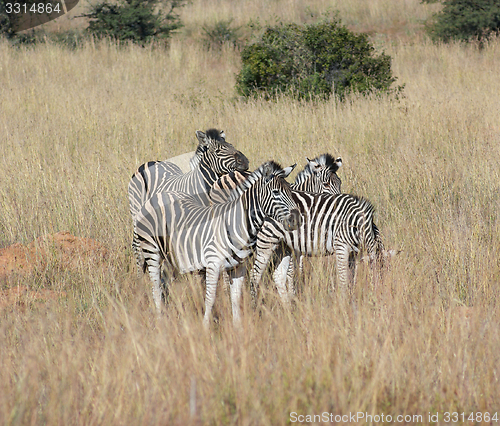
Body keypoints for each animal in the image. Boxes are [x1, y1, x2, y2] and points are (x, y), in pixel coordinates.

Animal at [133, 161, 300, 328]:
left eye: (291, 191)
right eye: (276, 192)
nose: (297, 219)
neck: (237, 223)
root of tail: (157, 196)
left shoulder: (238, 267)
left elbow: (235, 297)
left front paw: (237, 327)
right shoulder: (212, 265)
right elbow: (210, 298)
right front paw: (206, 327)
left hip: (171, 254)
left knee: (164, 282)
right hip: (151, 249)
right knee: (155, 287)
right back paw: (160, 320)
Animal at [252, 191, 384, 304]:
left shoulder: (354, 254)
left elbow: (352, 279)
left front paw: (351, 299)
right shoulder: (341, 246)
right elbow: (343, 279)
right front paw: (344, 304)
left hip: (283, 246)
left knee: (279, 276)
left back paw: (287, 307)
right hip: (267, 239)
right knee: (255, 274)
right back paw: (255, 306)